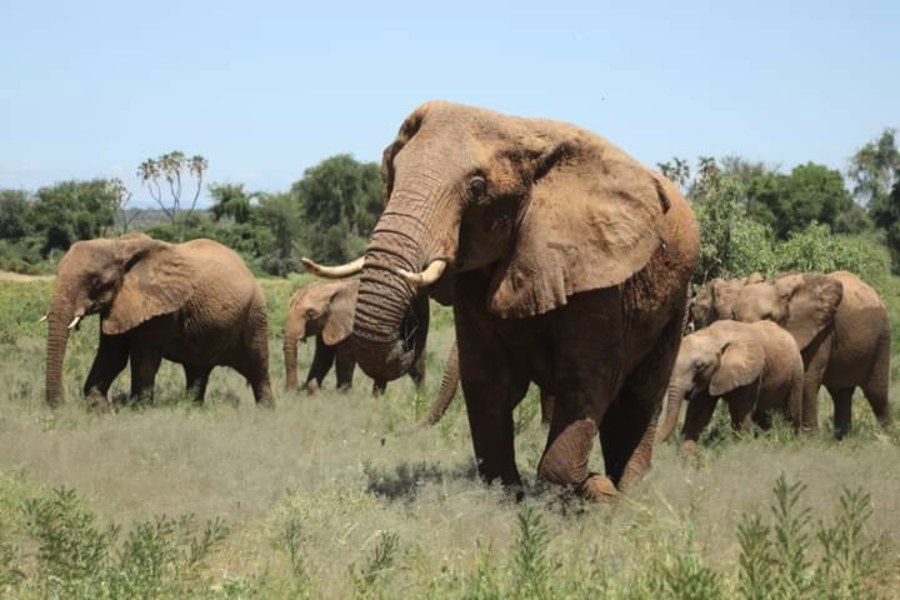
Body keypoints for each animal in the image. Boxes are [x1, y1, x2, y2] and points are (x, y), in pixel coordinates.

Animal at [44, 233, 274, 409]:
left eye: (96, 282)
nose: (59, 406)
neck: (118, 244)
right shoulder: (118, 306)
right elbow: (112, 355)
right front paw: (99, 407)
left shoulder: (161, 309)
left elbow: (144, 359)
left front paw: (138, 410)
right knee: (197, 370)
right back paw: (193, 409)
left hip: (255, 315)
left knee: (257, 367)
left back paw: (265, 414)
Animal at [283, 279, 426, 394]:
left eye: (311, 313)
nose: (291, 393)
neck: (333, 286)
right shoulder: (328, 325)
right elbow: (323, 358)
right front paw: (312, 391)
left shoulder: (348, 326)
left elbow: (343, 359)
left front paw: (342, 395)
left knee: (415, 366)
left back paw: (420, 397)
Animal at [303, 101, 699, 501]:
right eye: (394, 176)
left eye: (477, 188)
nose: (408, 330)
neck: (520, 133)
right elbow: (486, 377)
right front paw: (508, 495)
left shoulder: (597, 274)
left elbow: (586, 377)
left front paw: (597, 492)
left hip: (677, 301)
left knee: (641, 397)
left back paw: (632, 491)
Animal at [658, 320, 804, 451]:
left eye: (699, 366)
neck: (715, 336)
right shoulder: (710, 376)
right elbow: (698, 412)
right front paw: (688, 454)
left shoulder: (751, 375)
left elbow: (739, 413)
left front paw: (742, 449)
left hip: (796, 375)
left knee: (792, 413)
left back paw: (792, 443)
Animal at [731, 271, 891, 438]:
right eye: (734, 315)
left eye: (768, 317)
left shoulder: (822, 331)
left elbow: (807, 378)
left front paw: (809, 439)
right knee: (841, 394)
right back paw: (842, 440)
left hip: (882, 339)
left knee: (876, 392)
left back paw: (888, 437)